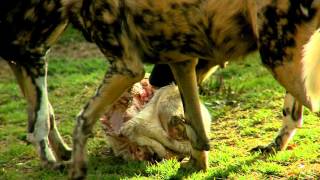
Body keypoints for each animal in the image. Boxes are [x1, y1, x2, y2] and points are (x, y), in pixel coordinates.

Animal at [0, 0, 320, 179]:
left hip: (280, 59)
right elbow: (196, 132)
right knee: (294, 112)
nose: (153, 81)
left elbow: (76, 122)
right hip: (284, 57)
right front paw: (197, 164)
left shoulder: (128, 66)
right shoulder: (182, 62)